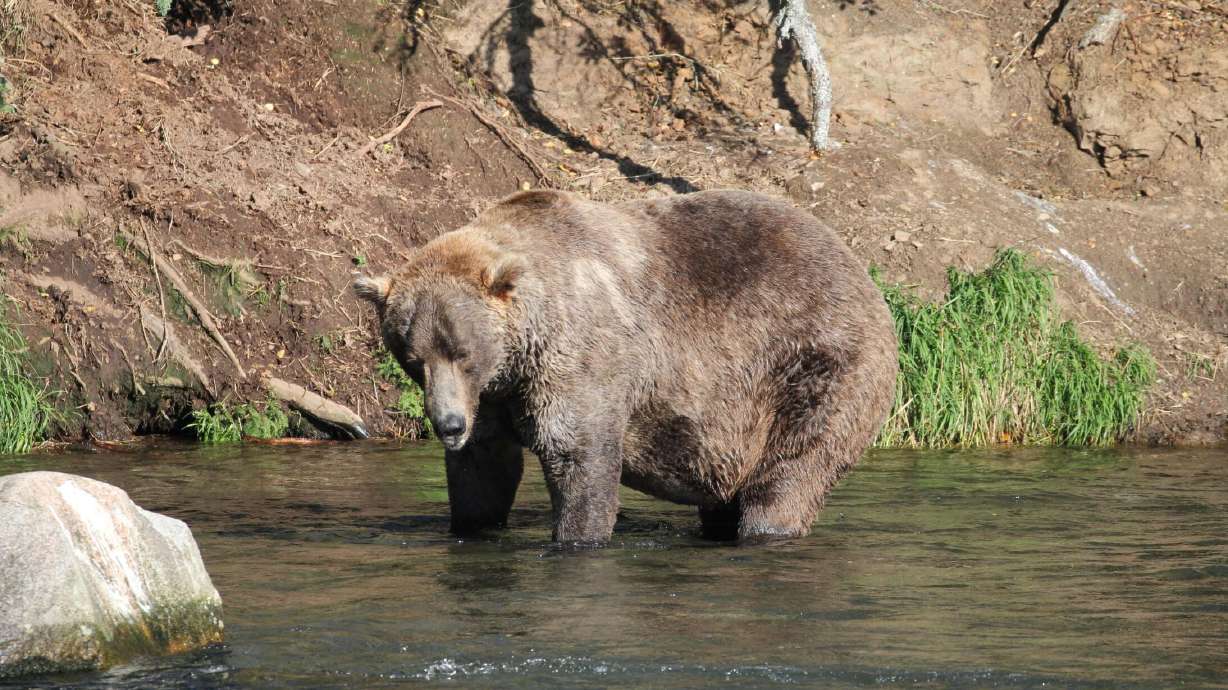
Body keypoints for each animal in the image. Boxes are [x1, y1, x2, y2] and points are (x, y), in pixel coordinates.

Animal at [354, 189, 898, 544]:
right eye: (413, 359)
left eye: (463, 353)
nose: (448, 424)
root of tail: (864, 273)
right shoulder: (494, 397)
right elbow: (484, 469)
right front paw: (473, 524)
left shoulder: (581, 359)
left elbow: (579, 455)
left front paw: (577, 536)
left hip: (814, 365)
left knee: (791, 470)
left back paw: (767, 527)